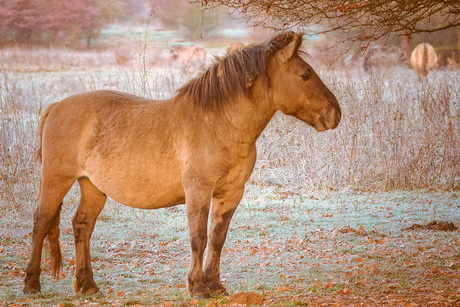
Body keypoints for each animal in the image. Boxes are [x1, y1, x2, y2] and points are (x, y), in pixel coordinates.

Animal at [24, 32, 342, 300]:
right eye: (305, 74)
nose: (335, 114)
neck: (219, 124)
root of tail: (56, 106)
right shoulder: (198, 192)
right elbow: (198, 238)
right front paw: (198, 288)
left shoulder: (231, 194)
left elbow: (217, 238)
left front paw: (216, 285)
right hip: (55, 180)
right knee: (41, 222)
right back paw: (32, 284)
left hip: (92, 187)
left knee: (82, 226)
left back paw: (87, 285)